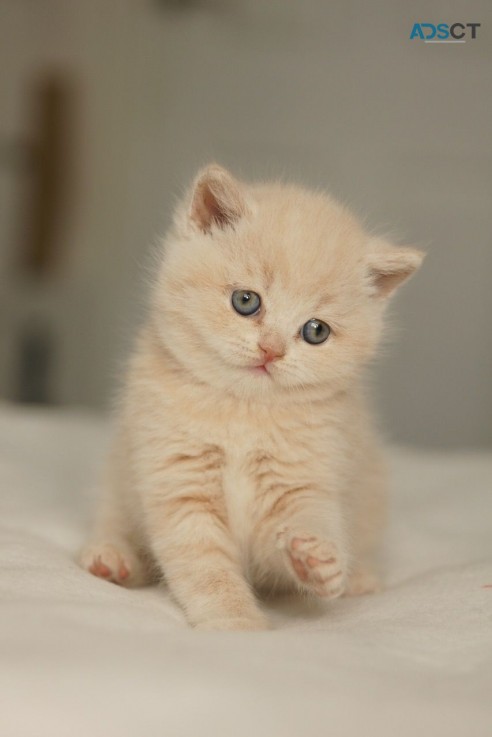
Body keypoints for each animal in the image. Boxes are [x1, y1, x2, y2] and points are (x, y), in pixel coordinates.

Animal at [80, 164, 422, 628]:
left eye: (316, 331)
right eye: (246, 301)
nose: (271, 350)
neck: (242, 413)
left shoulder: (305, 477)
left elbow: (305, 522)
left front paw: (318, 561)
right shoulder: (176, 481)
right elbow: (205, 568)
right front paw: (237, 626)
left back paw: (360, 579)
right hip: (119, 477)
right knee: (115, 522)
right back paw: (112, 560)